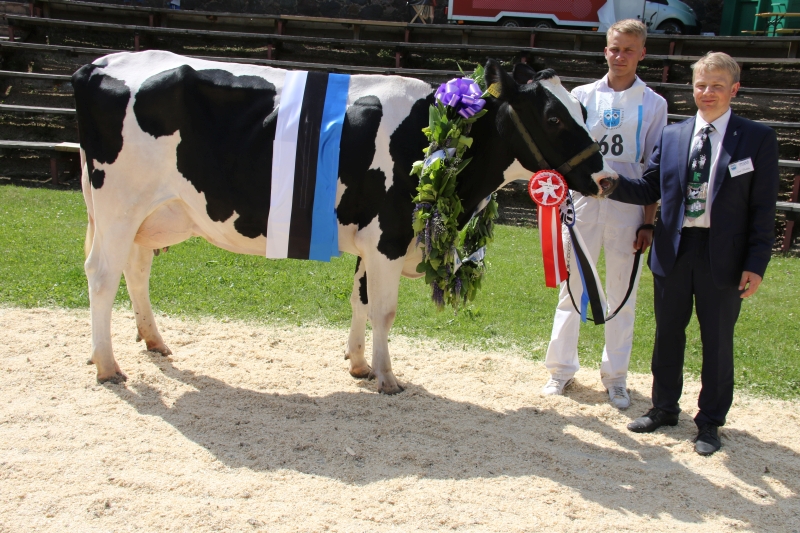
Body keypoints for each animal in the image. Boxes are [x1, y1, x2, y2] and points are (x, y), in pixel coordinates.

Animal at [73, 50, 617, 394]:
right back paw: (107, 365)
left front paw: (358, 365)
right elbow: (384, 310)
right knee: (101, 275)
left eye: (582, 108)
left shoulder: (372, 241)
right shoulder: (389, 237)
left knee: (136, 268)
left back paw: (152, 341)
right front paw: (388, 377)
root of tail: (101, 63)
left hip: (151, 213)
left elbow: (360, 299)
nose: (607, 177)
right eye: (553, 118)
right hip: (119, 203)